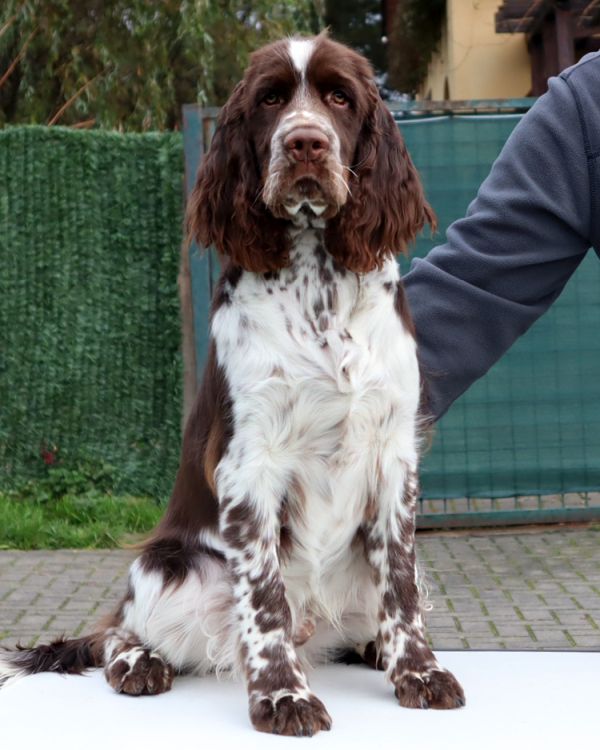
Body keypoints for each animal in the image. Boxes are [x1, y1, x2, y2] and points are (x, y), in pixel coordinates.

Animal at [0, 33, 464, 736]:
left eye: (339, 97)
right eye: (271, 99)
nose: (305, 144)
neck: (317, 282)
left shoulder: (393, 455)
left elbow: (402, 585)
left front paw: (419, 670)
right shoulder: (250, 463)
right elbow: (266, 599)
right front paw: (283, 697)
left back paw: (371, 646)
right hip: (168, 566)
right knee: (116, 629)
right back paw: (137, 662)